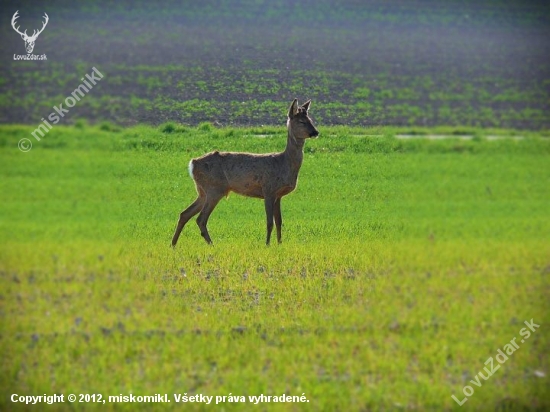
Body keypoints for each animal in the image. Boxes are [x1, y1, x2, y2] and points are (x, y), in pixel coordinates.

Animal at [172, 98, 320, 246]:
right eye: (301, 121)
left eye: (310, 119)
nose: (316, 132)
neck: (284, 163)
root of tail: (193, 164)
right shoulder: (268, 190)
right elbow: (269, 222)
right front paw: (267, 244)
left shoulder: (278, 195)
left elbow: (279, 222)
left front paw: (279, 244)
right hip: (214, 189)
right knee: (200, 219)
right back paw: (212, 245)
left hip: (203, 191)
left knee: (184, 214)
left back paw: (173, 245)